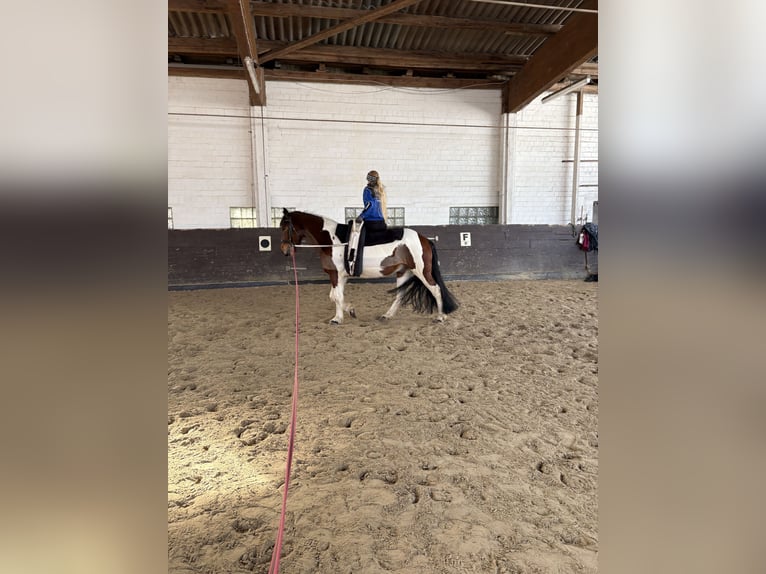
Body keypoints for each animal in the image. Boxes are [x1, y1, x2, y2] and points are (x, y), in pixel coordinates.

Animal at [279, 209, 459, 324]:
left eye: (286, 227)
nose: (284, 250)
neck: (332, 239)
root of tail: (424, 239)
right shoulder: (341, 276)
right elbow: (335, 296)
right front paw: (346, 313)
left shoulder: (335, 274)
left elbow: (336, 296)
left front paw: (339, 317)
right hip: (403, 272)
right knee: (400, 295)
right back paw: (387, 315)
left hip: (421, 271)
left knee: (436, 289)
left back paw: (440, 317)